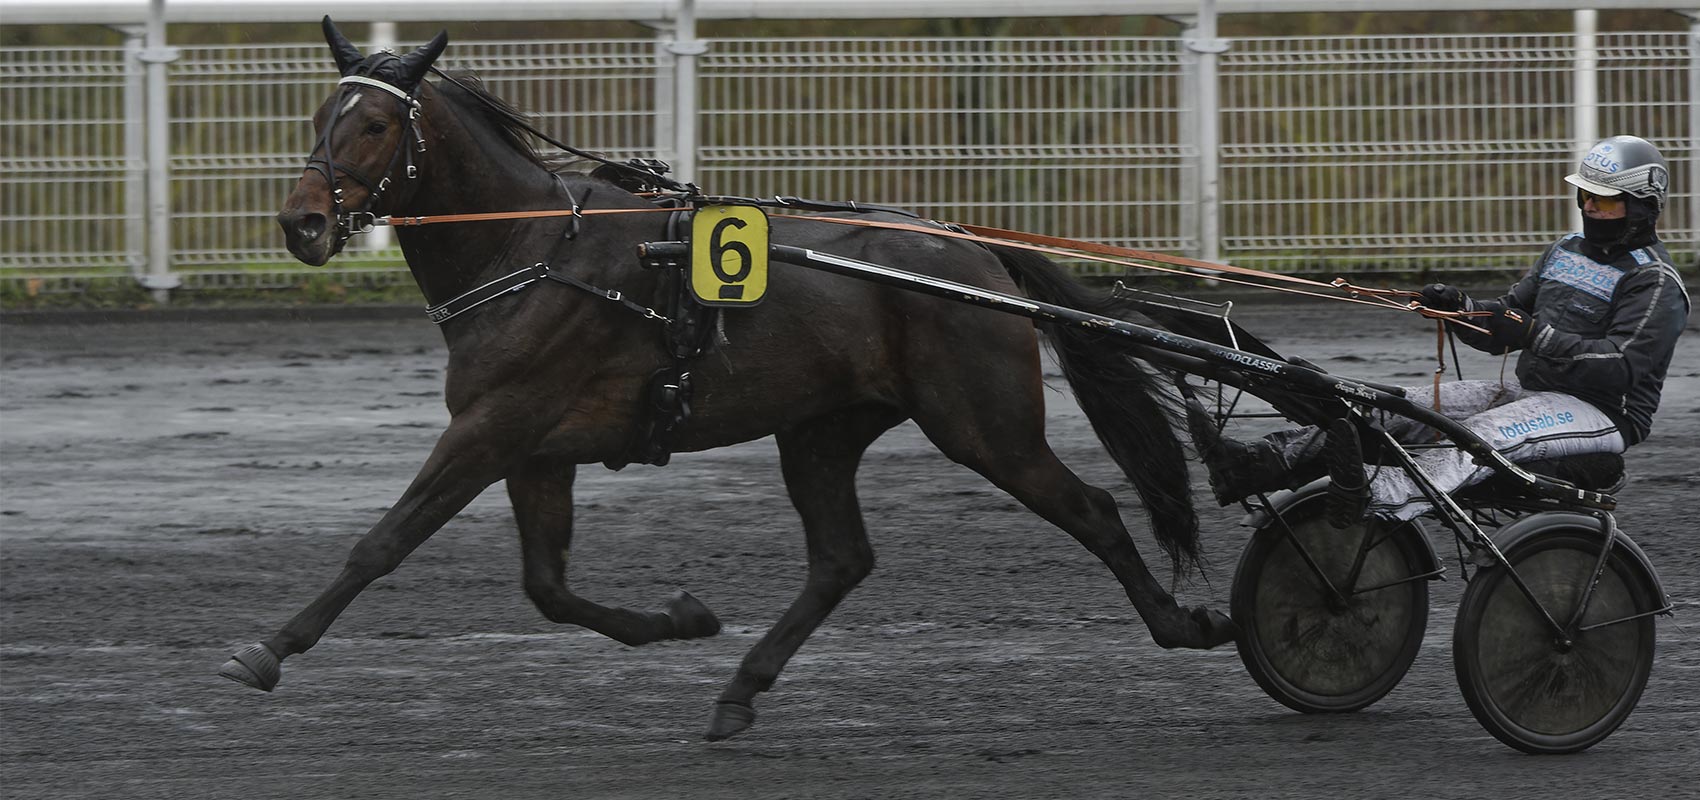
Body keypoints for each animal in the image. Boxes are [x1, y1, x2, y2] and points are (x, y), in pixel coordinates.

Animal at [226, 17, 1237, 743]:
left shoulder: (492, 427)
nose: (300, 223)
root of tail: (973, 253)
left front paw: (268, 650)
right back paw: (740, 689)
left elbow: (383, 543)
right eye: (318, 118)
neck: (530, 249)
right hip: (821, 428)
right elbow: (548, 586)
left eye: (376, 123)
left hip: (984, 424)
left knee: (1092, 511)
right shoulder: (535, 448)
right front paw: (681, 618)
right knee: (840, 559)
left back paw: (1187, 624)